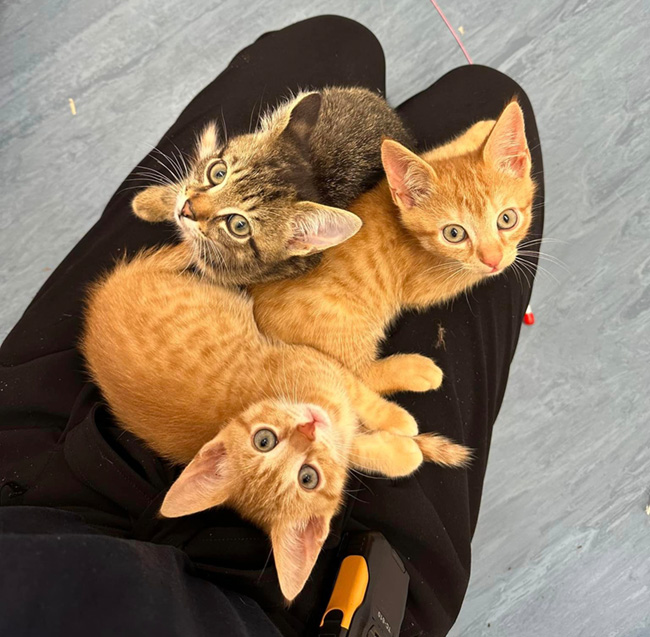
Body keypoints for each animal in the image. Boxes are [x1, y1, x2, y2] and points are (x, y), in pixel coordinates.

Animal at [81, 243, 468, 600]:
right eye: (308, 478)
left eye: (262, 439)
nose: (308, 429)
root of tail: (100, 299)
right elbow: (355, 437)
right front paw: (401, 446)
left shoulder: (318, 363)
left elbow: (360, 396)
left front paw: (394, 415)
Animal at [251, 101, 536, 390]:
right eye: (454, 233)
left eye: (507, 219)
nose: (493, 259)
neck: (412, 236)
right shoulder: (423, 287)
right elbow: (470, 275)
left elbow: (437, 153)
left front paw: (482, 129)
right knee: (357, 376)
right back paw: (415, 370)